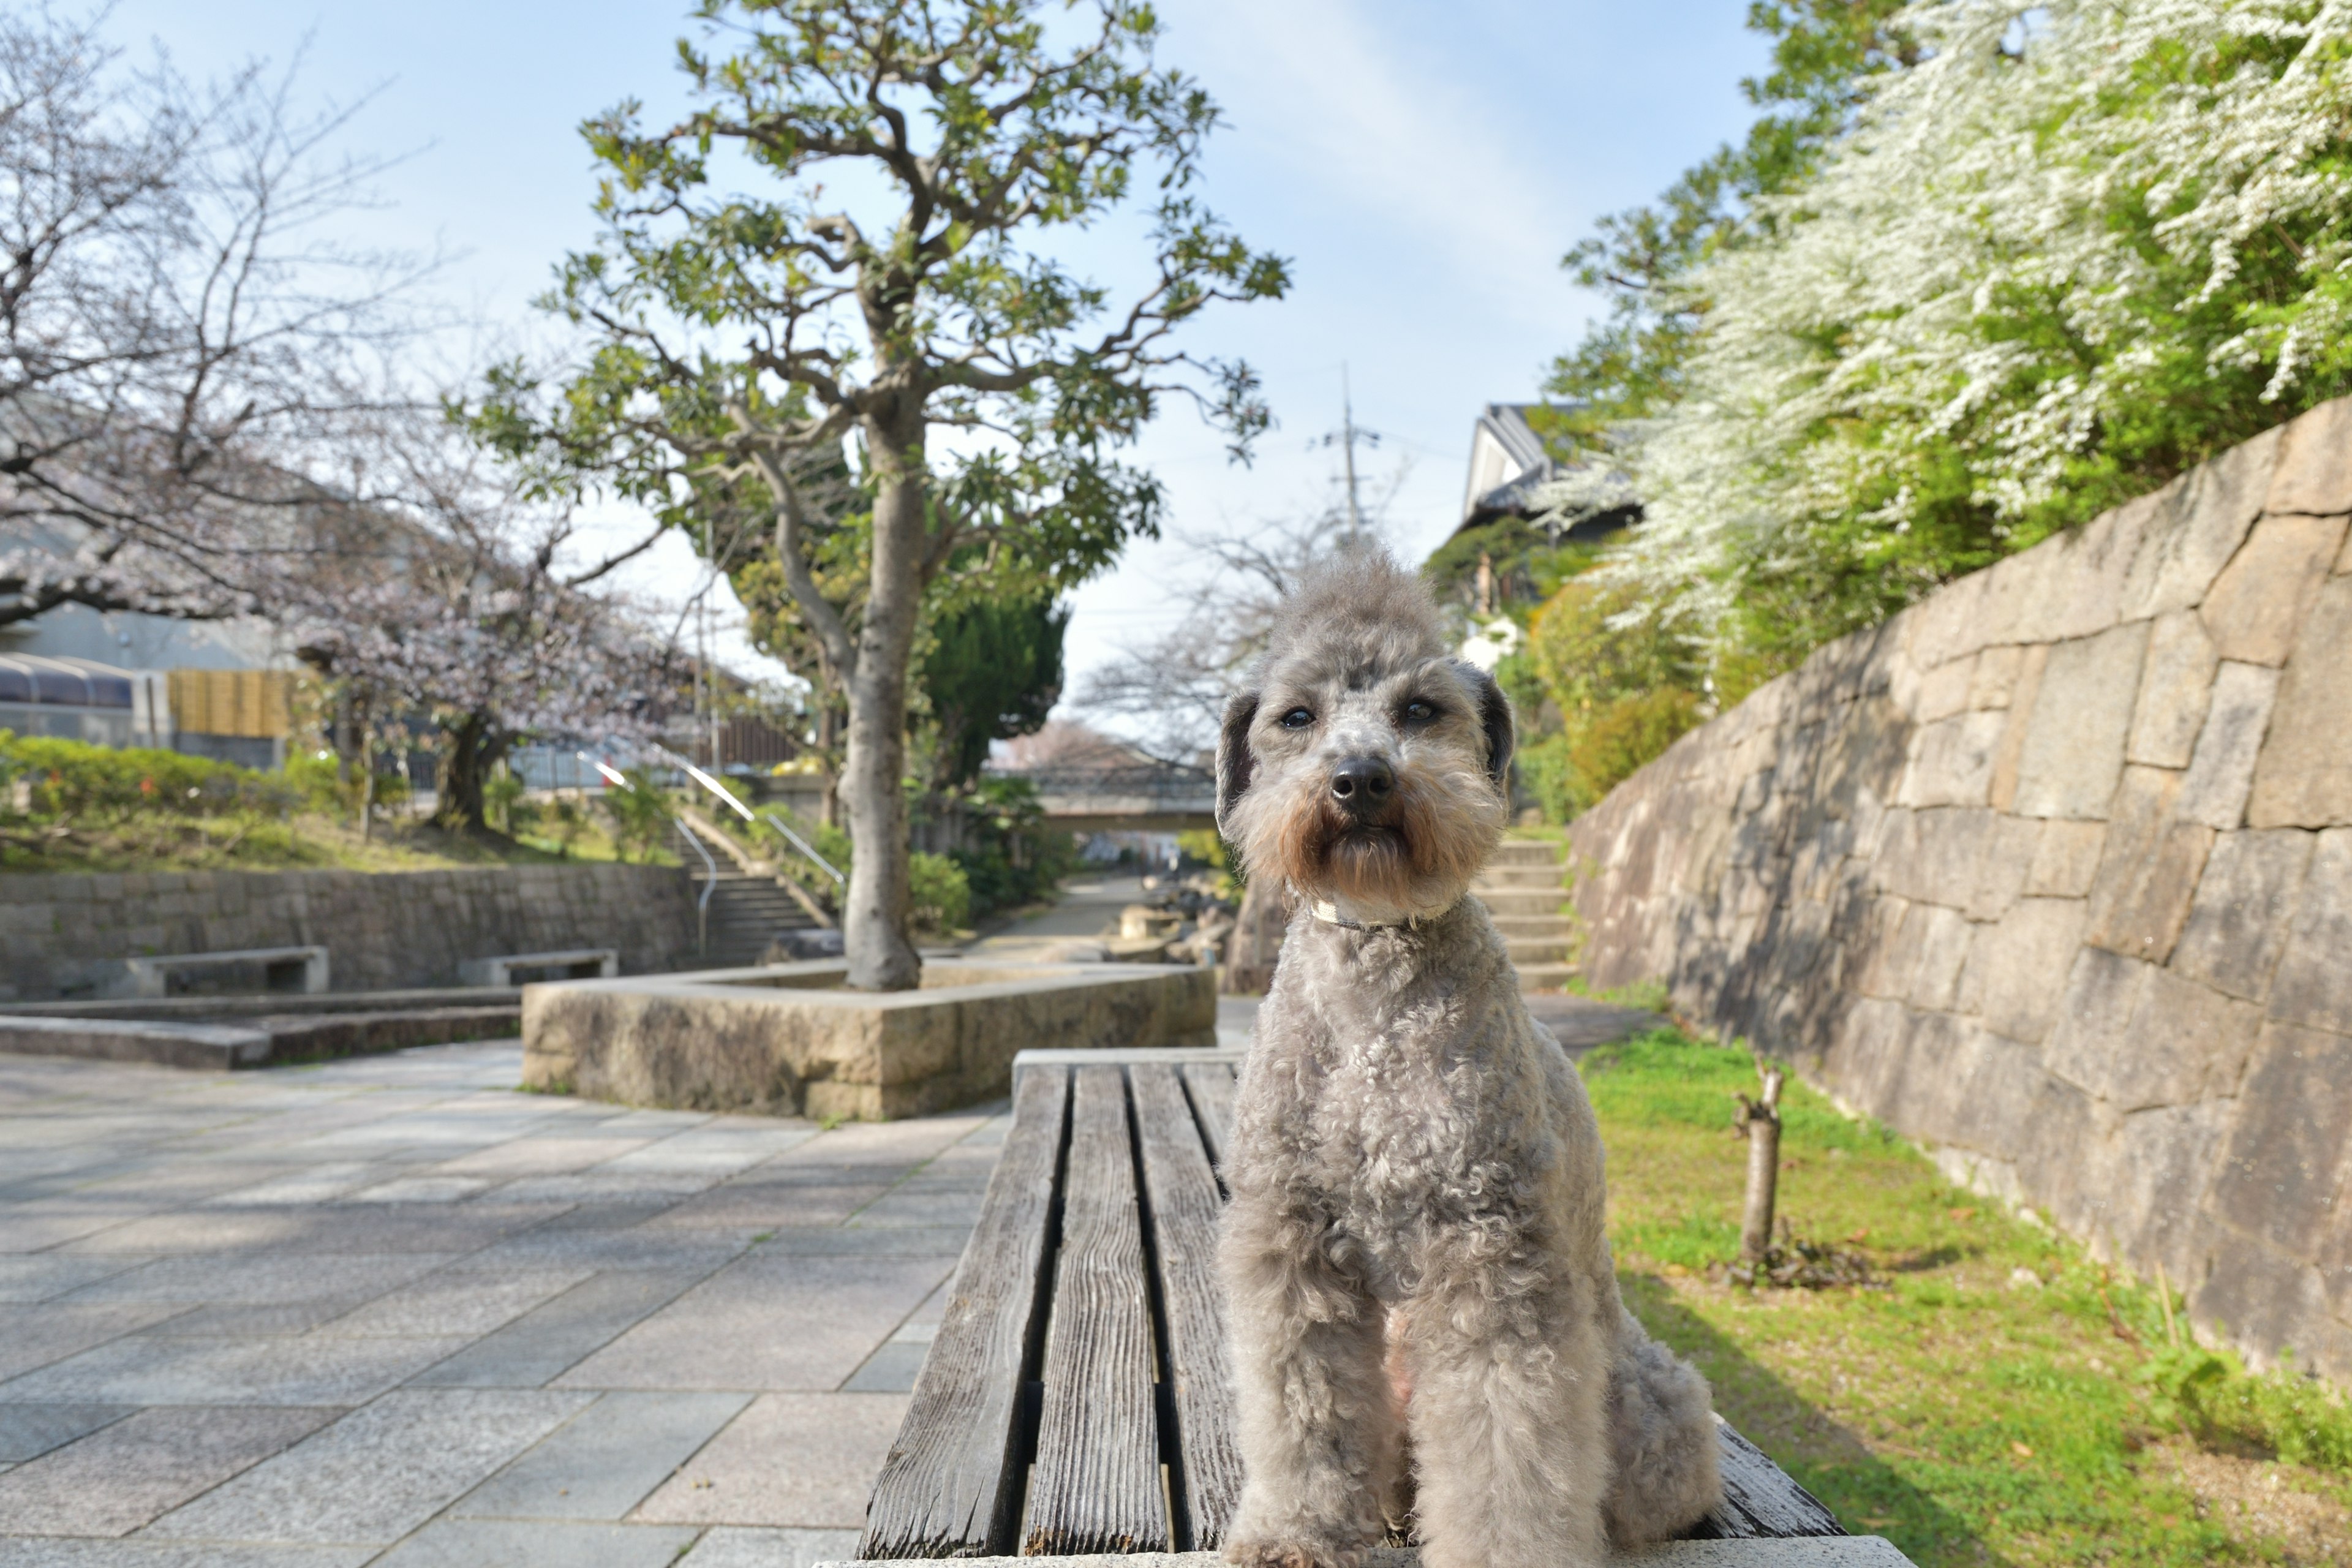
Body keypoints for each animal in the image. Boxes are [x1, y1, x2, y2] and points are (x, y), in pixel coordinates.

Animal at [1223, 552, 1721, 1568]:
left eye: (1421, 710)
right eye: (1296, 718)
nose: (1361, 779)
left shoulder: (1491, 1255)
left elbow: (1507, 1454)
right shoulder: (1293, 1247)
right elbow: (1302, 1411)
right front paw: (1294, 1531)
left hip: (1647, 1395)